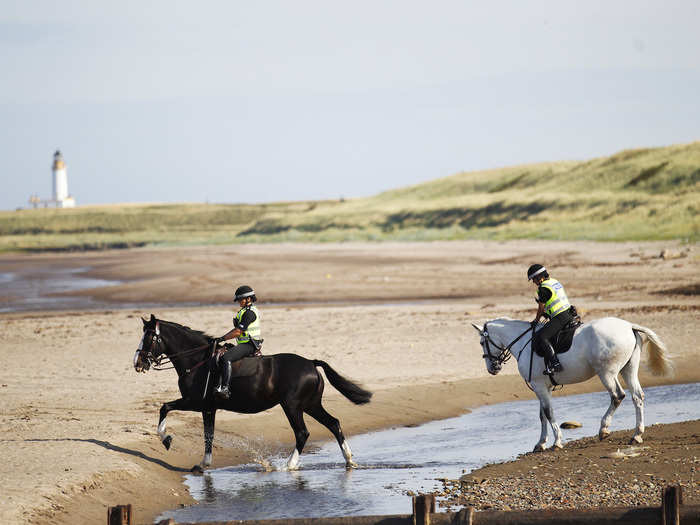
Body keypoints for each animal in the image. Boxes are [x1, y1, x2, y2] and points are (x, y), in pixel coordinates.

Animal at [133, 314, 372, 468]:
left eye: (149, 337)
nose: (138, 363)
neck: (198, 361)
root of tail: (311, 364)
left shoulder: (194, 402)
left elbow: (165, 407)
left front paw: (166, 439)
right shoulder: (208, 408)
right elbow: (208, 435)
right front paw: (203, 464)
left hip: (293, 406)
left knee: (302, 433)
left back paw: (290, 465)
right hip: (311, 405)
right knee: (334, 423)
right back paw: (349, 460)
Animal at [470, 316, 672, 450]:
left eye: (481, 342)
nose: (492, 368)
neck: (525, 343)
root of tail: (629, 326)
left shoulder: (539, 386)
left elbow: (548, 413)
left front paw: (557, 441)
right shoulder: (543, 387)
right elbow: (542, 414)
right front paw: (540, 443)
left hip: (607, 373)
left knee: (617, 395)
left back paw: (604, 429)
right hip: (628, 369)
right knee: (637, 397)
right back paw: (637, 435)